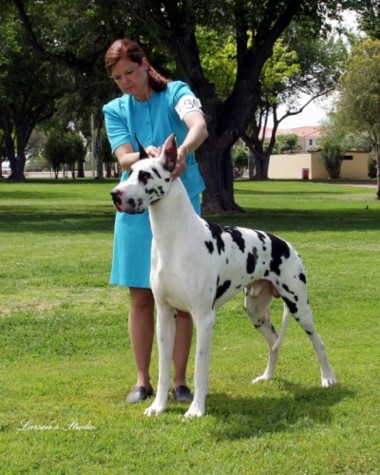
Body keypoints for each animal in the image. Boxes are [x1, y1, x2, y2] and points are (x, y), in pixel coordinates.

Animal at [110, 136, 336, 418]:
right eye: (129, 172)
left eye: (145, 175)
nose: (115, 194)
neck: (173, 237)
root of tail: (286, 244)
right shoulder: (164, 315)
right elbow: (163, 369)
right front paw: (158, 406)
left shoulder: (204, 318)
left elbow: (199, 367)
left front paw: (196, 409)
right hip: (255, 311)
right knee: (274, 341)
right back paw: (267, 376)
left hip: (299, 306)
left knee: (319, 341)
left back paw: (327, 378)